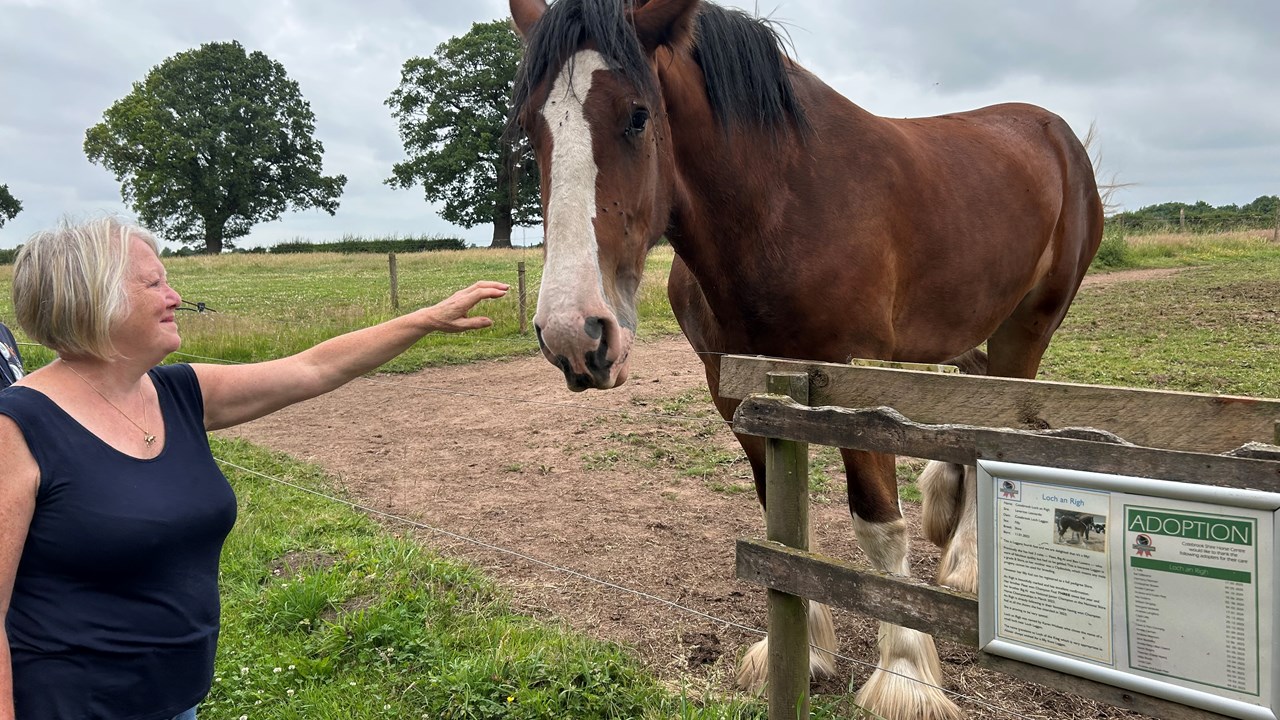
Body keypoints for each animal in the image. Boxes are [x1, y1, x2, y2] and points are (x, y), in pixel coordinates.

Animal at [507, 1, 1103, 717]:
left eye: (637, 114)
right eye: (529, 125)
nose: (574, 333)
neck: (781, 205)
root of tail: (1056, 133)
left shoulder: (856, 384)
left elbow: (878, 526)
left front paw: (905, 674)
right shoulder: (737, 392)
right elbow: (781, 522)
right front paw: (800, 652)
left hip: (1028, 328)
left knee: (1001, 420)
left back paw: (966, 567)